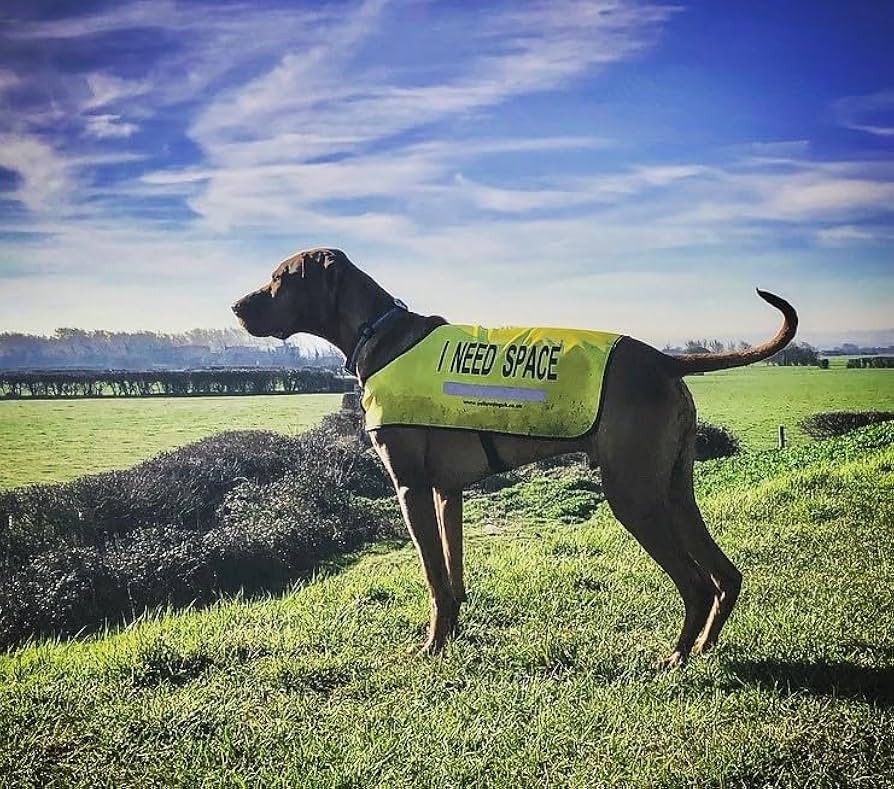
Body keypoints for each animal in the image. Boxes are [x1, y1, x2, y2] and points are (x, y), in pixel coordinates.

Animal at [233, 248, 800, 664]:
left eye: (279, 278)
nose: (235, 307)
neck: (380, 332)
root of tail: (662, 359)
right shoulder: (446, 491)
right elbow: (453, 577)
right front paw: (451, 638)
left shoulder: (411, 488)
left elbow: (434, 580)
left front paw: (431, 648)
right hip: (673, 489)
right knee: (726, 576)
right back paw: (704, 647)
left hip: (634, 496)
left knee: (697, 583)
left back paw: (677, 657)